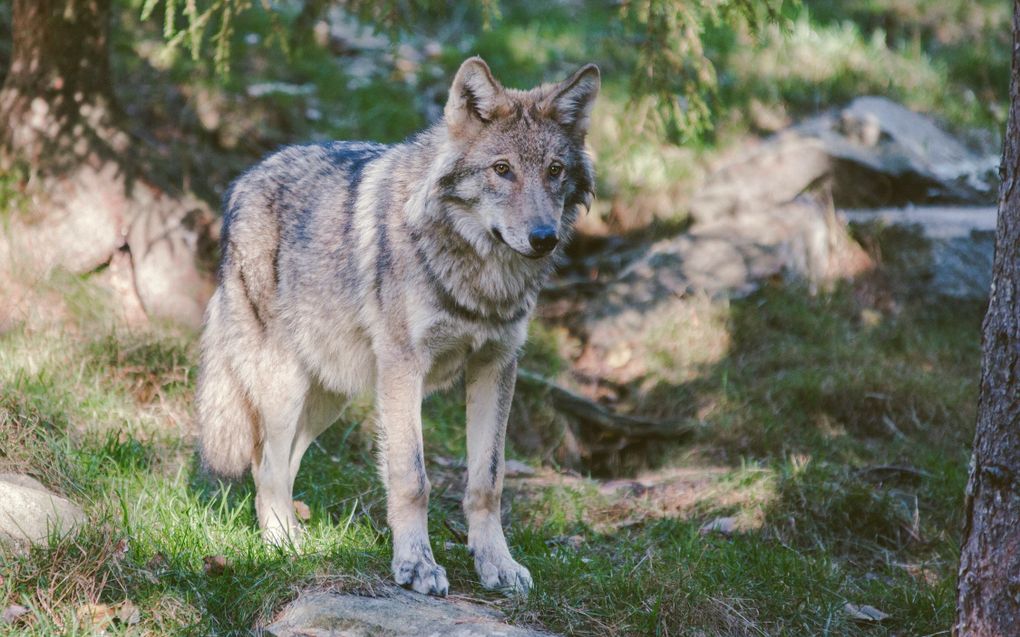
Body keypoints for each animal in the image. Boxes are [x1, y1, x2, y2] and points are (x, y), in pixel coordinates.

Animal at [192, 57, 595, 595]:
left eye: (554, 171)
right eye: (502, 169)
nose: (544, 238)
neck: (481, 277)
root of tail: (242, 182)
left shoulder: (497, 366)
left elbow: (487, 481)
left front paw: (497, 564)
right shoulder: (406, 369)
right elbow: (412, 479)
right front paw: (416, 565)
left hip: (330, 398)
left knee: (276, 465)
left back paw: (299, 538)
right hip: (285, 387)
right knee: (267, 468)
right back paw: (284, 547)